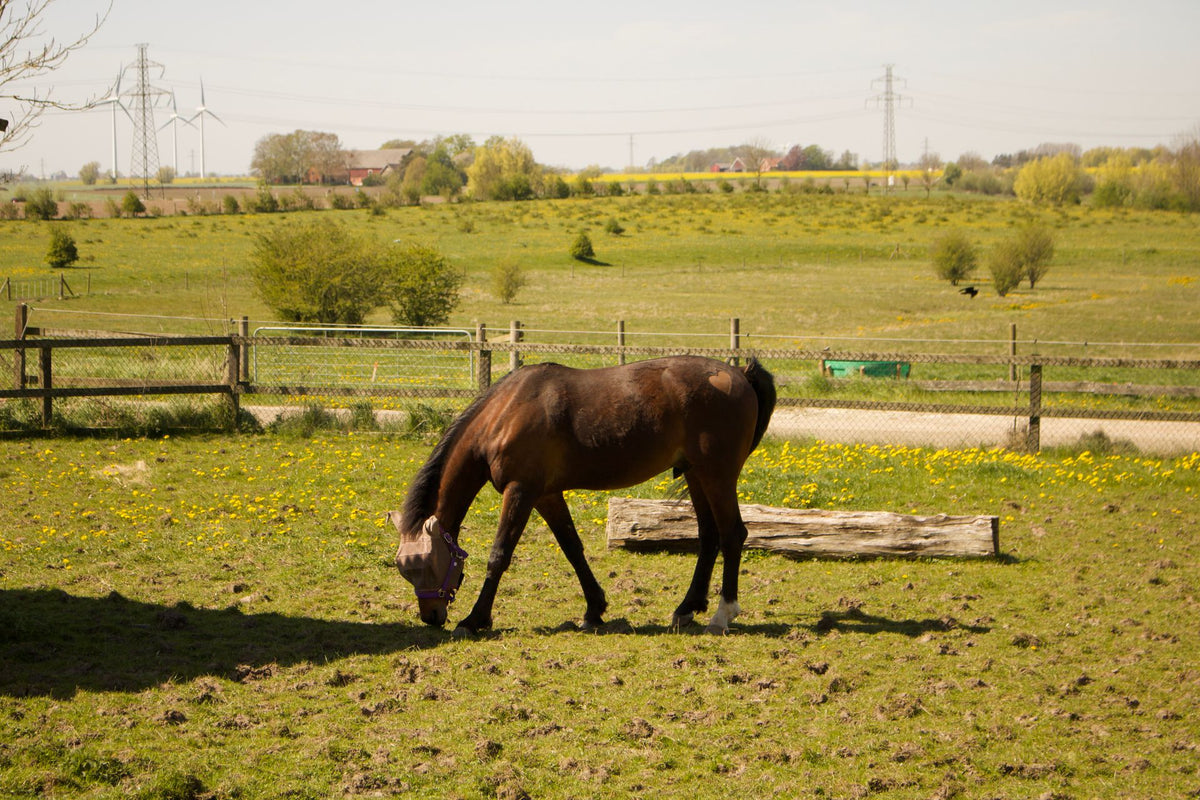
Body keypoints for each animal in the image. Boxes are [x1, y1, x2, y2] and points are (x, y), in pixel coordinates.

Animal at [391, 354, 776, 635]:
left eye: (425, 564)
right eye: (403, 570)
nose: (431, 616)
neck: (505, 412)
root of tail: (739, 373)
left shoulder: (521, 492)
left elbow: (499, 555)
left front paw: (475, 619)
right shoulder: (546, 495)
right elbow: (572, 548)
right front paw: (594, 609)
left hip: (717, 475)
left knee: (732, 534)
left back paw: (722, 614)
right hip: (696, 474)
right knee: (709, 536)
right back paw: (686, 608)